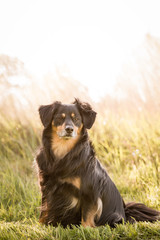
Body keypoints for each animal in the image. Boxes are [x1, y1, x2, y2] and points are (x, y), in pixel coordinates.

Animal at [35, 98, 160, 228]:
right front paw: (41, 226)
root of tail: (125, 212)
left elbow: (87, 214)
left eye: (77, 119)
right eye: (60, 117)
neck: (63, 152)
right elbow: (45, 209)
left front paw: (85, 229)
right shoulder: (47, 187)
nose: (69, 129)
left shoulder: (89, 191)